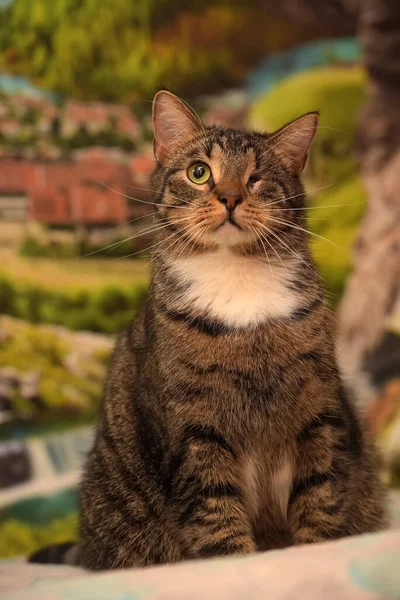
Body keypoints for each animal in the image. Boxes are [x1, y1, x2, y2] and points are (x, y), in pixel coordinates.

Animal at [28, 91, 388, 568]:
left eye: (256, 178)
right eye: (199, 172)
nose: (230, 197)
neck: (237, 283)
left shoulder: (318, 413)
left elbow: (319, 495)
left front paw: (314, 553)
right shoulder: (194, 431)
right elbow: (216, 514)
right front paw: (237, 564)